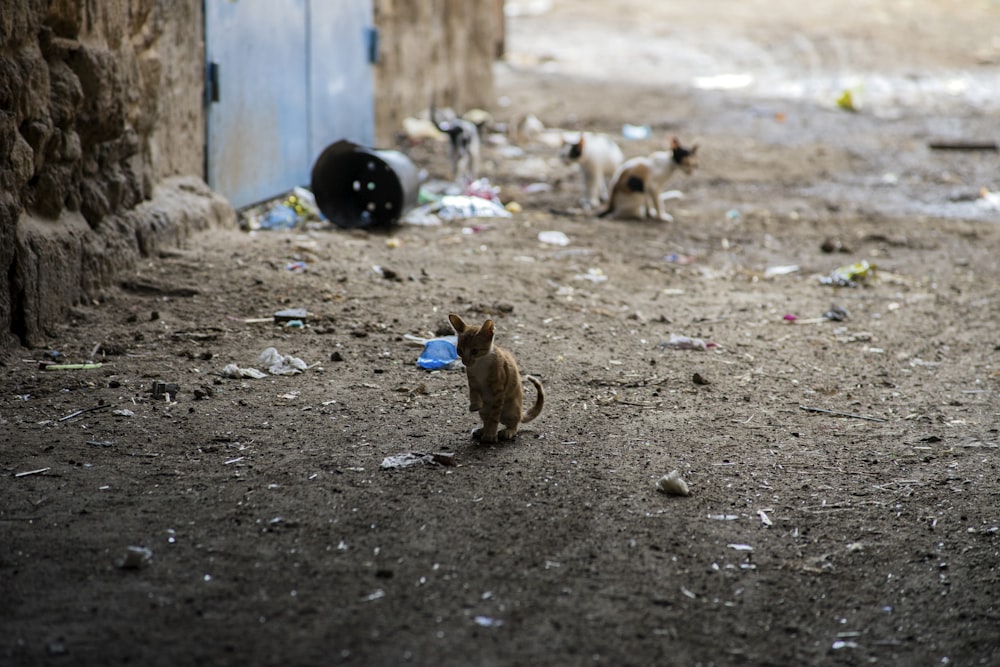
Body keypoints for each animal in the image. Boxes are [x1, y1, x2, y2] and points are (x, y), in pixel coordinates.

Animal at [448, 314, 544, 444]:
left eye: (474, 351)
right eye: (459, 351)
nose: (465, 362)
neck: (480, 364)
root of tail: (520, 412)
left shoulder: (499, 391)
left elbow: (494, 416)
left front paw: (490, 435)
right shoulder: (472, 381)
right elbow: (473, 392)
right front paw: (475, 404)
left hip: (511, 409)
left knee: (514, 423)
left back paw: (508, 431)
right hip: (484, 410)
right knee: (486, 418)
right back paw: (482, 430)